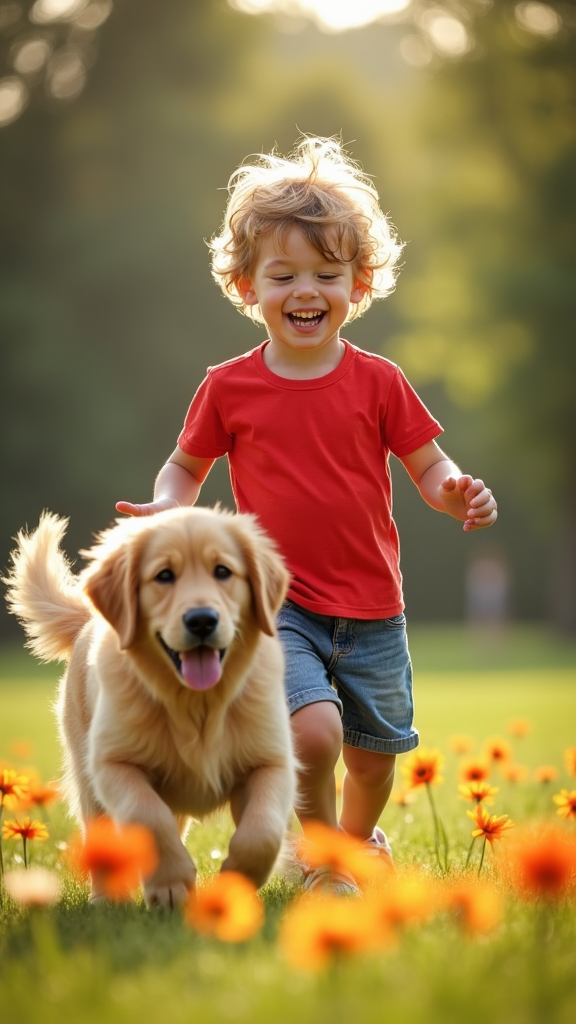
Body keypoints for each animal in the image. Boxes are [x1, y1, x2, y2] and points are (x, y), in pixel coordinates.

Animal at [6, 505, 295, 905]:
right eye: (164, 576)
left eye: (223, 571)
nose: (201, 620)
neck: (196, 702)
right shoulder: (113, 764)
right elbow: (148, 817)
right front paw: (171, 885)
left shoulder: (272, 761)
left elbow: (263, 830)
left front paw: (234, 884)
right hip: (87, 777)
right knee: (103, 834)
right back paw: (106, 901)